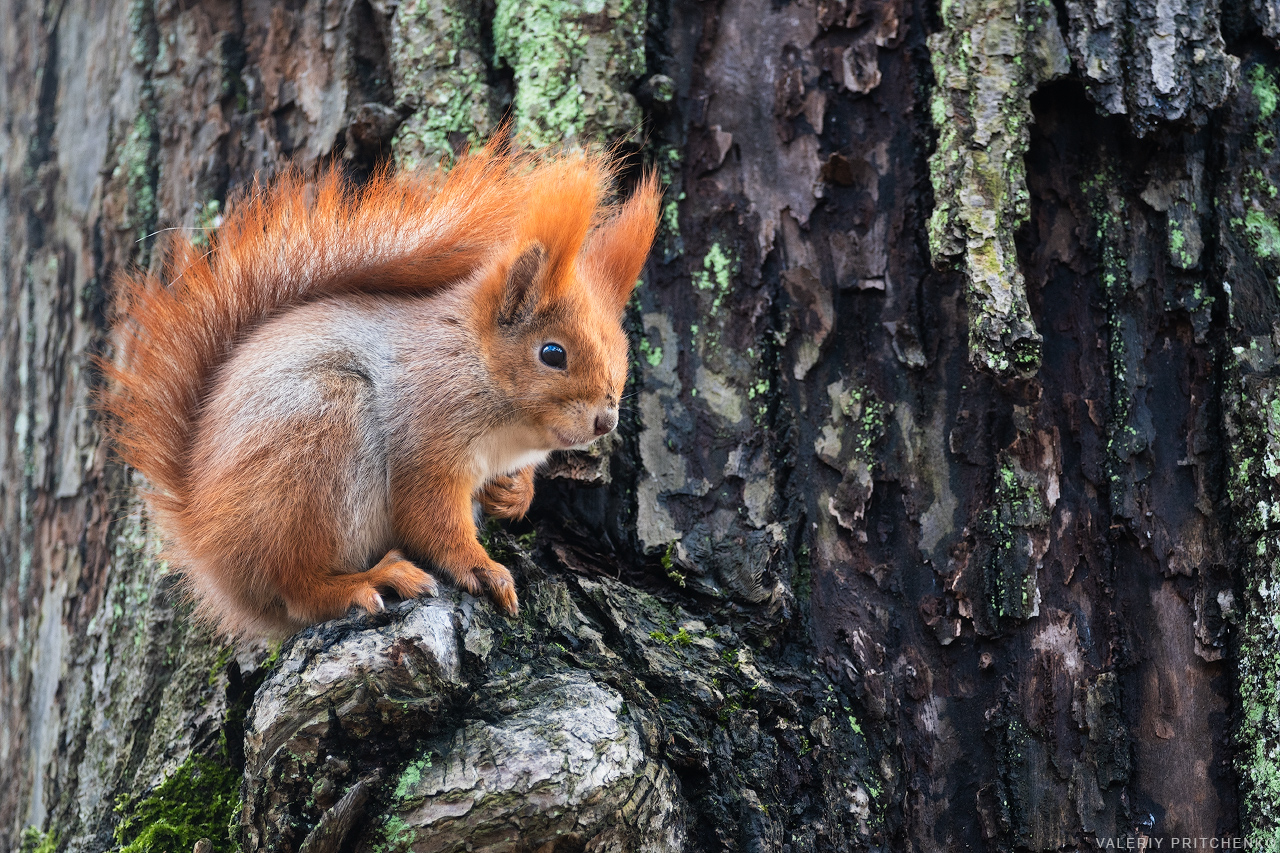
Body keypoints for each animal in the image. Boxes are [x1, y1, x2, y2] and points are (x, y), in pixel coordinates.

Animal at [101, 144, 660, 637]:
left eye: (622, 352)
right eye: (552, 353)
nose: (606, 420)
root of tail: (207, 547)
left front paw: (513, 494)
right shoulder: (425, 436)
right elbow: (432, 519)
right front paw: (480, 568)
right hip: (314, 448)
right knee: (298, 587)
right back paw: (368, 580)